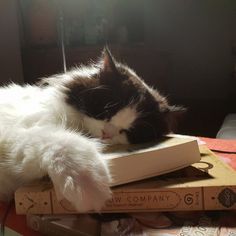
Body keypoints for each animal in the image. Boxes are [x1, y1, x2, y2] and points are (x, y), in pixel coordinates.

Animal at [0, 48, 184, 212]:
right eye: (107, 111)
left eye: (130, 131)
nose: (106, 134)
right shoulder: (18, 134)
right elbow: (61, 142)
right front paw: (87, 186)